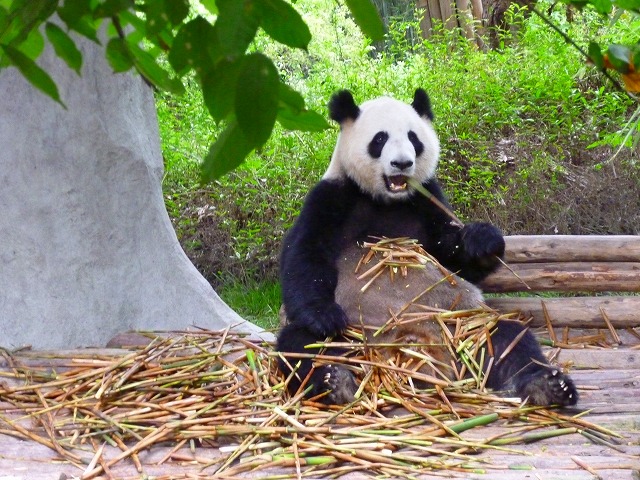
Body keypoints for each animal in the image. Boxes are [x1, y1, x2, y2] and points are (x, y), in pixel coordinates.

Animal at [278, 88, 576, 406]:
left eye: (413, 138)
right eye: (379, 139)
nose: (402, 163)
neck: (387, 200)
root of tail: (414, 346)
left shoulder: (427, 200)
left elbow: (452, 256)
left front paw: (483, 240)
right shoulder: (332, 198)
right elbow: (305, 257)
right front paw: (324, 316)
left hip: (461, 324)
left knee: (507, 339)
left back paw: (547, 386)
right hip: (356, 335)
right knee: (302, 346)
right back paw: (335, 381)